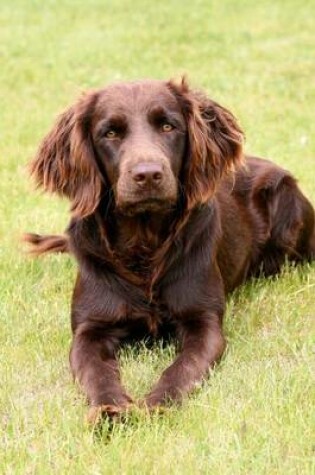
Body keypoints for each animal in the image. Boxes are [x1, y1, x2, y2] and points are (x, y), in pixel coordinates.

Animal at [25, 80, 315, 422]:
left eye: (168, 126)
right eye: (110, 133)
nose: (148, 174)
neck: (144, 246)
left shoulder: (203, 323)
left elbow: (181, 368)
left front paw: (157, 406)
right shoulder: (90, 329)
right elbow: (96, 373)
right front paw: (110, 409)